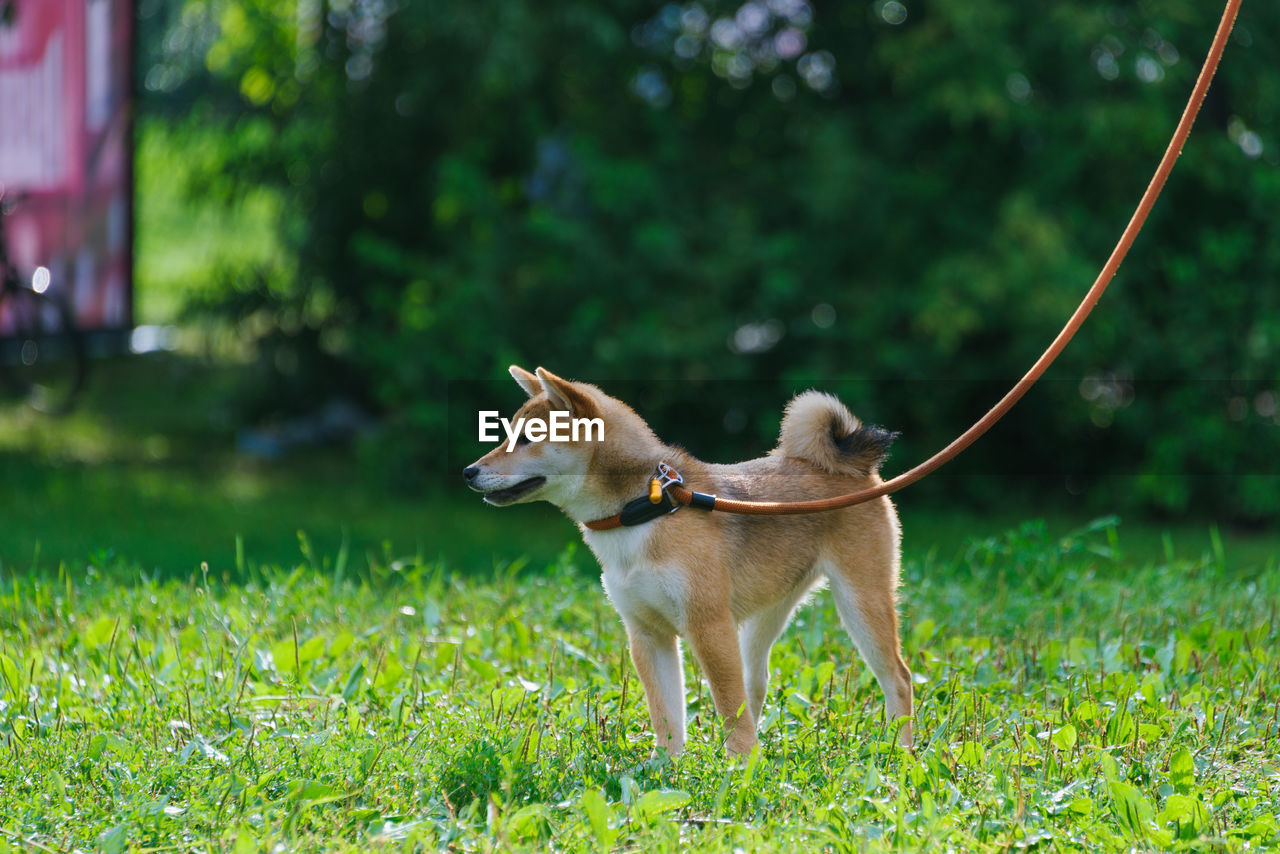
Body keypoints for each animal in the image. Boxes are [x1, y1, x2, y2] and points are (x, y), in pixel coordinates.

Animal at [465, 368, 916, 752]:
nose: (468, 471)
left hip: (859, 602)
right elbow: (667, 716)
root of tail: (854, 466)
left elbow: (726, 707)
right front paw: (665, 770)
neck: (643, 510)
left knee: (899, 678)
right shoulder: (647, 634)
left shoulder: (707, 625)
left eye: (527, 438)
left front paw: (742, 771)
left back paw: (901, 753)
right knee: (755, 685)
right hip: (765, 618)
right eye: (507, 434)